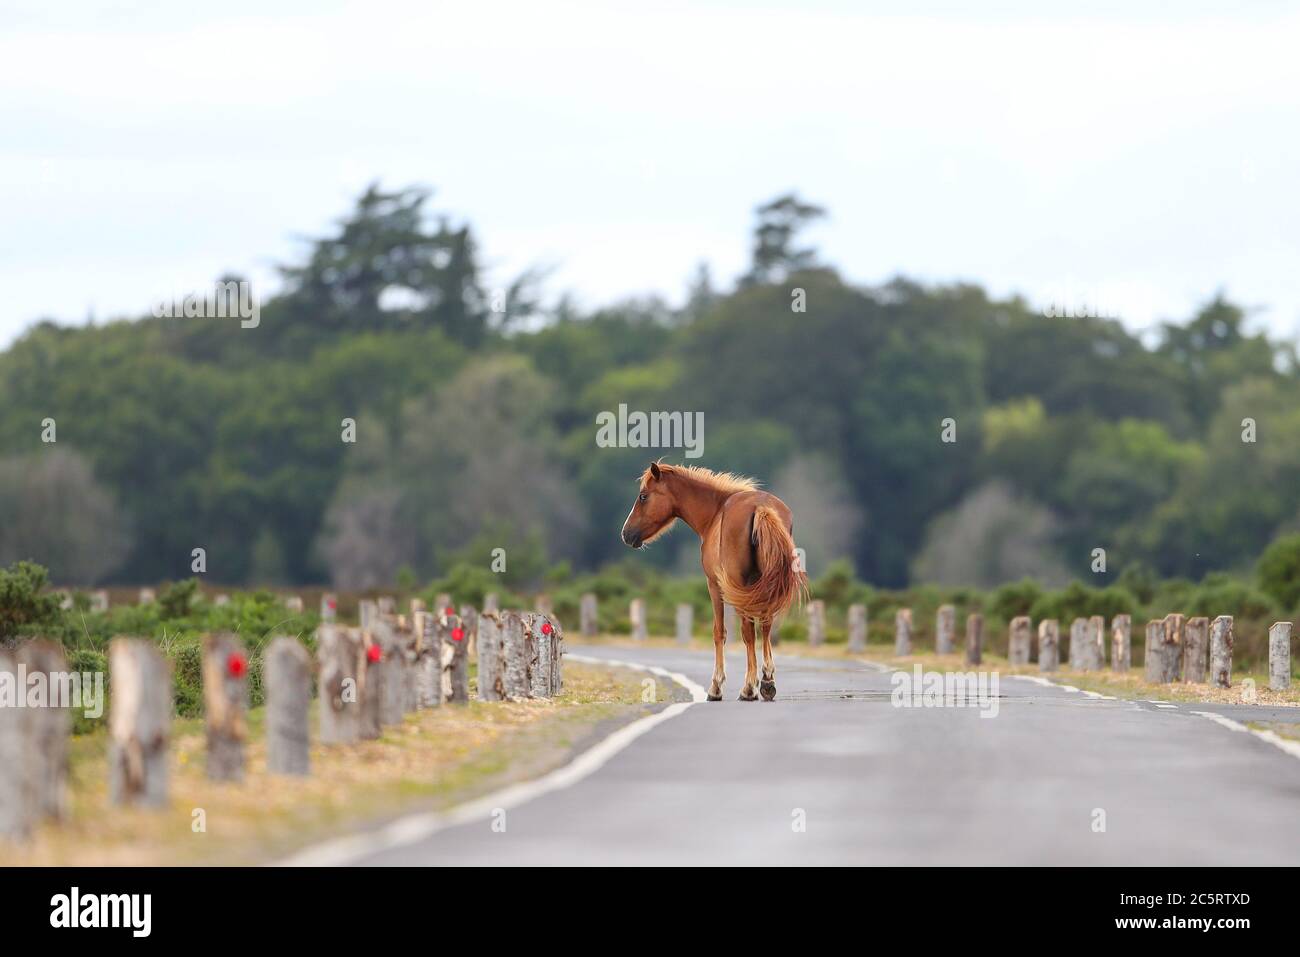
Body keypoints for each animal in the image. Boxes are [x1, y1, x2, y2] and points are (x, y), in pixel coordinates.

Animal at [620, 461, 808, 701]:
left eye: (643, 496)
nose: (626, 533)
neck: (715, 512)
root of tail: (761, 507)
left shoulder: (714, 586)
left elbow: (719, 632)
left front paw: (716, 687)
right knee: (765, 626)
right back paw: (766, 682)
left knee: (748, 631)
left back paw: (748, 688)